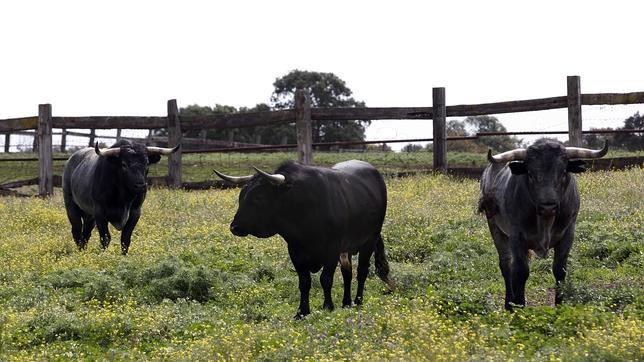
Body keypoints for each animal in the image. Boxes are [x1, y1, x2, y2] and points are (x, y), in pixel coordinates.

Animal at [216, 160, 394, 318]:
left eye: (258, 197)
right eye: (241, 196)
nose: (234, 227)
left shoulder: (332, 249)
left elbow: (325, 279)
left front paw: (327, 306)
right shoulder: (295, 251)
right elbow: (304, 282)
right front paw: (302, 312)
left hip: (370, 240)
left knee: (362, 271)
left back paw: (358, 301)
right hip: (347, 249)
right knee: (347, 273)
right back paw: (346, 302)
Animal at [478, 140, 608, 310]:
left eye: (563, 172)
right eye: (530, 174)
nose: (548, 206)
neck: (545, 220)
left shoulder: (568, 234)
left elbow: (560, 270)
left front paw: (559, 305)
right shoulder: (516, 237)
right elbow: (521, 272)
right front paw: (520, 306)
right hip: (496, 229)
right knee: (506, 265)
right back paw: (509, 304)